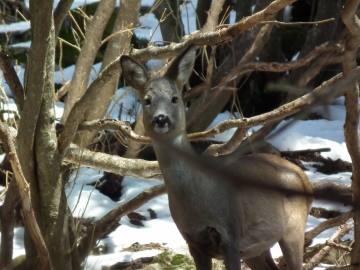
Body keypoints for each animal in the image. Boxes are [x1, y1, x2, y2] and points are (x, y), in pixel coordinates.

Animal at [120, 44, 312, 270]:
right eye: (147, 100)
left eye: (175, 98)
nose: (161, 119)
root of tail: (305, 178)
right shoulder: (194, 242)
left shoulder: (231, 235)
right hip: (256, 248)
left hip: (293, 227)